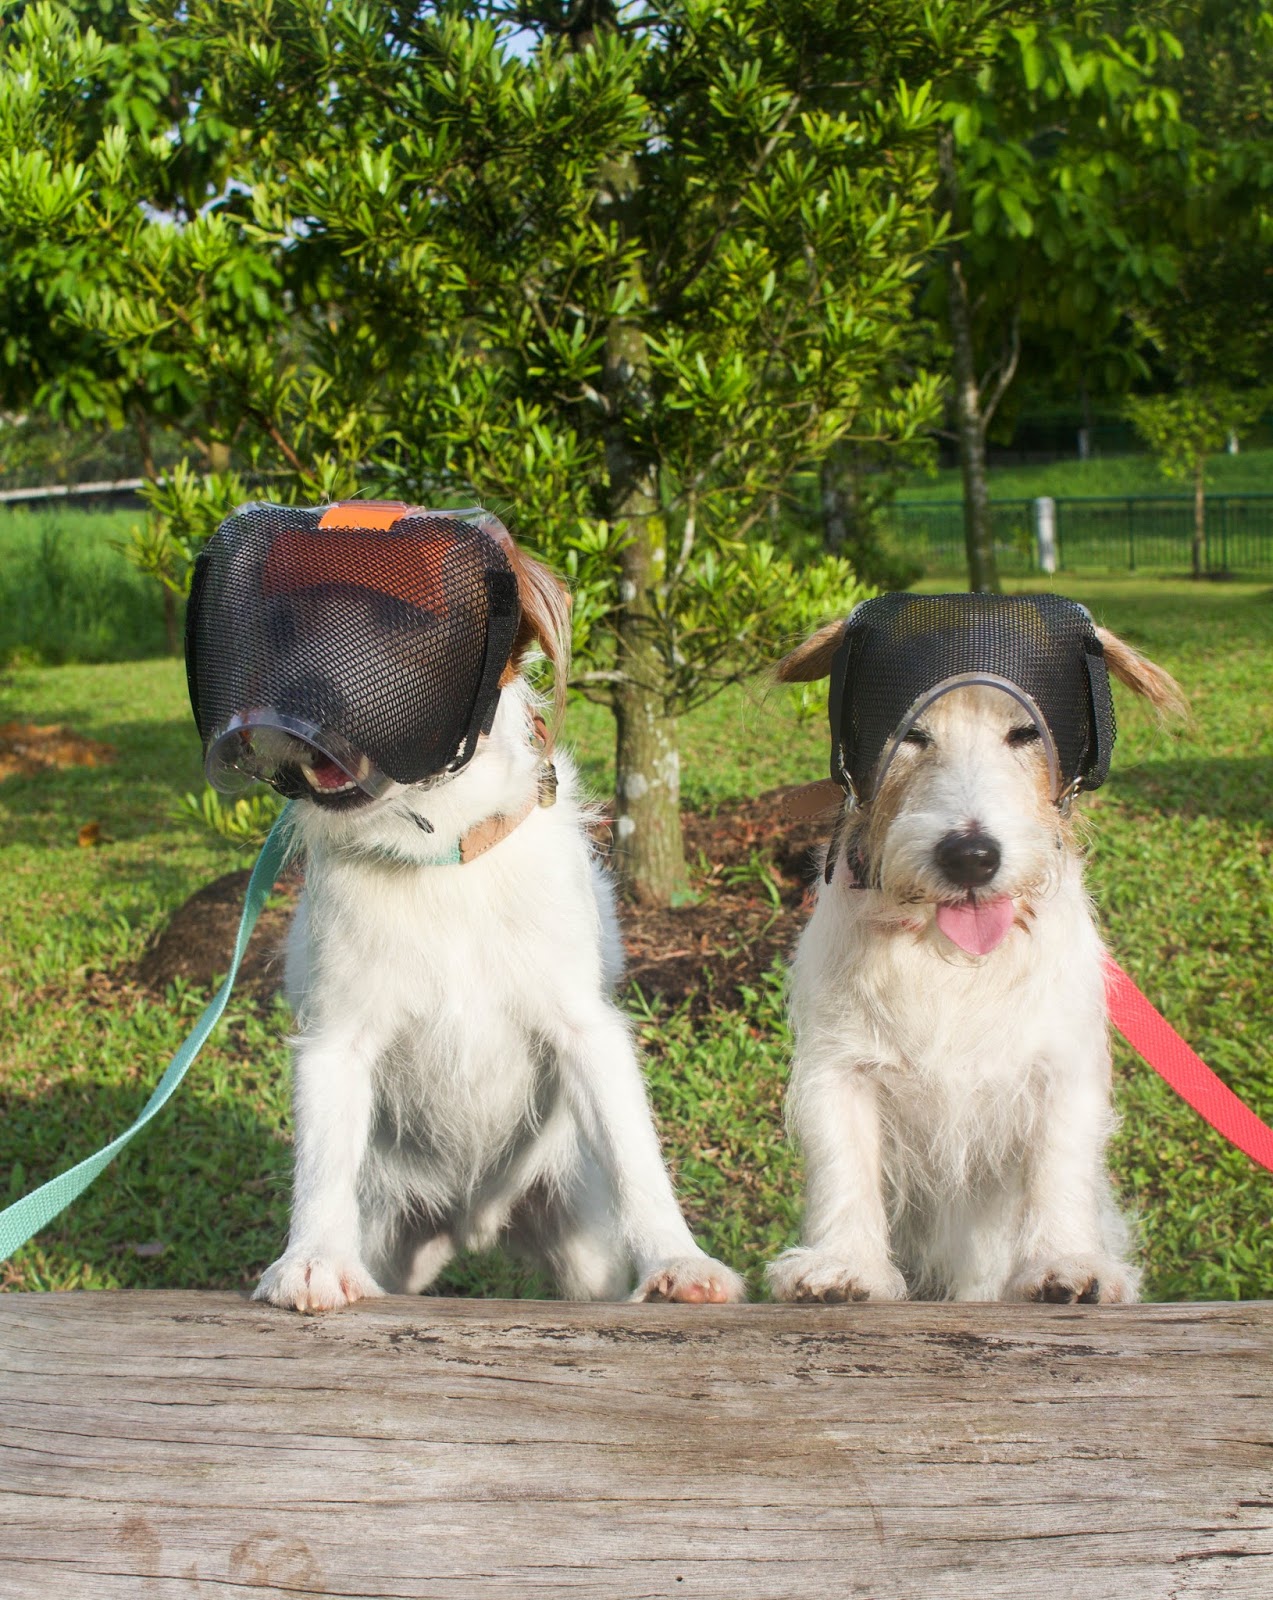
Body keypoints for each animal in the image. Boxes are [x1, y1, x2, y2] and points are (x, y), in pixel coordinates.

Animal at [199, 508, 744, 1311]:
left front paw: (678, 1258)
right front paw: (312, 1257)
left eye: (413, 623)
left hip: (581, 1254)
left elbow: (637, 1157)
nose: (299, 707)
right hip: (392, 1240)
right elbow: (321, 1166)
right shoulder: (336, 1043)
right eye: (282, 625)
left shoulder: (586, 1033)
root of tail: (473, 1223)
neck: (440, 857)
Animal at [766, 598, 1185, 1305]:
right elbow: (842, 1165)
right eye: (910, 735)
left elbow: (1058, 1165)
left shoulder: (1062, 1070)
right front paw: (844, 1264)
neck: (946, 958)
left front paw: (1065, 1261)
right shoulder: (838, 1069)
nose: (970, 856)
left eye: (1024, 734)